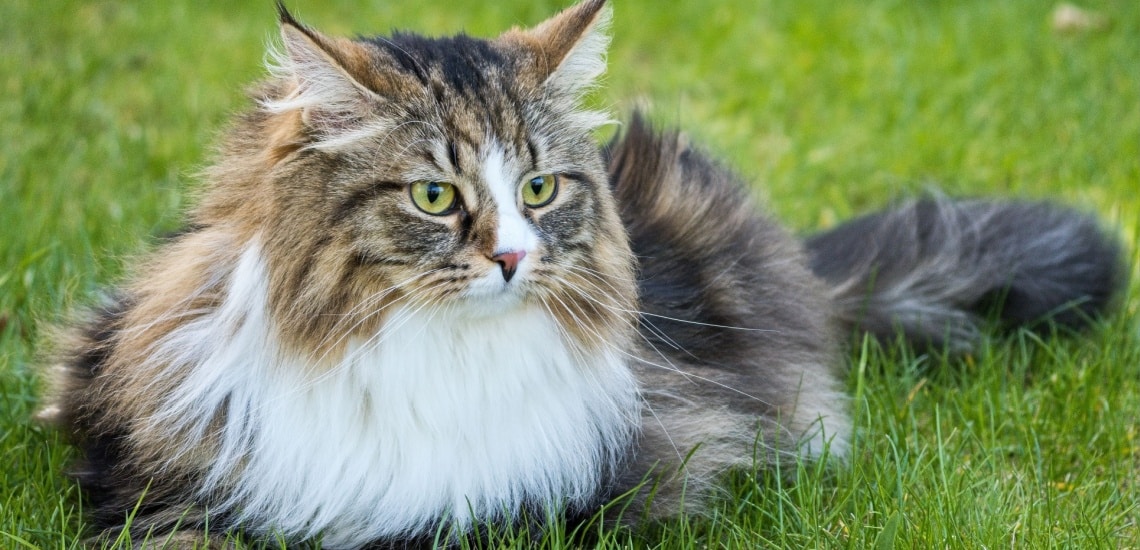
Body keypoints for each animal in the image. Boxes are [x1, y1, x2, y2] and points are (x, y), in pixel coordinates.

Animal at [40, 2, 1126, 547]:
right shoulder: (149, 478)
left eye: (539, 186)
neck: (419, 355)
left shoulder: (546, 506)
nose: (513, 256)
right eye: (435, 197)